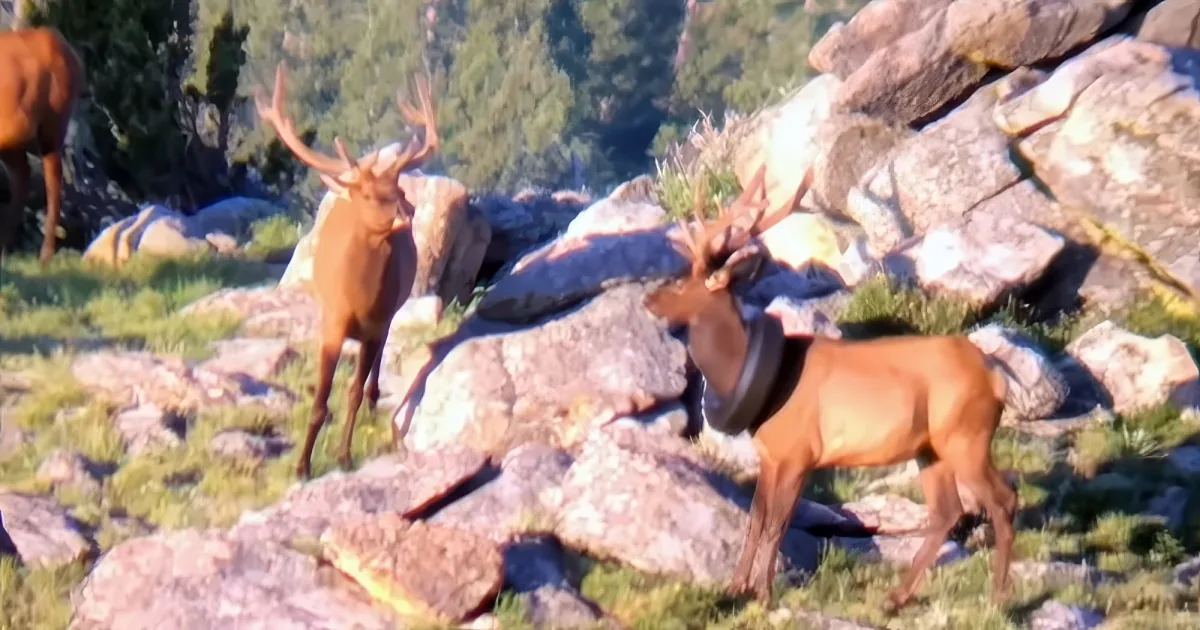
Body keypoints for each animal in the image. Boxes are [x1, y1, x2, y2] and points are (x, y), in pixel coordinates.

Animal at [253, 62, 439, 480]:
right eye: (369, 195)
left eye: (400, 189)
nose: (407, 213)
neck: (358, 297)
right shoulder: (333, 322)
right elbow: (321, 400)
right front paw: (302, 466)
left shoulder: (376, 322)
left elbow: (351, 391)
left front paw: (344, 456)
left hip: (389, 317)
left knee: (374, 369)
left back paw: (372, 401)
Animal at [642, 164, 1017, 612]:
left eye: (683, 282)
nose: (649, 300)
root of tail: (995, 375)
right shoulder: (771, 454)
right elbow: (755, 521)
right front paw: (735, 589)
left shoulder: (800, 452)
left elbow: (776, 524)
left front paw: (763, 594)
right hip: (932, 448)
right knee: (947, 512)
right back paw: (895, 597)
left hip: (966, 435)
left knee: (1002, 498)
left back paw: (997, 598)